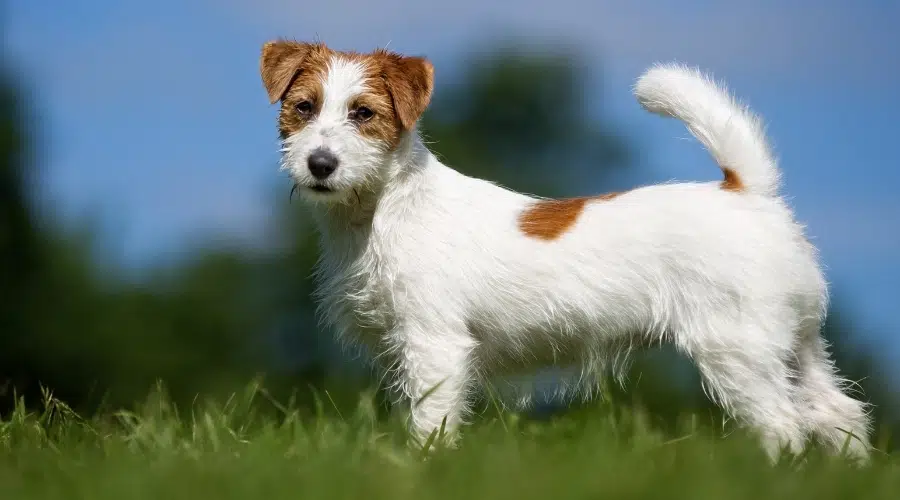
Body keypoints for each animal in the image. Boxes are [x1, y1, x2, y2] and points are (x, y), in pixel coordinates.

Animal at [258, 41, 872, 462]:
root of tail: (748, 191)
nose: (320, 165)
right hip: (797, 342)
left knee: (783, 424)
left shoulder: (434, 345)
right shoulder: (402, 349)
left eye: (363, 114)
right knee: (836, 412)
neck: (382, 208)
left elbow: (431, 420)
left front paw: (423, 465)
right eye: (303, 107)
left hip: (736, 348)